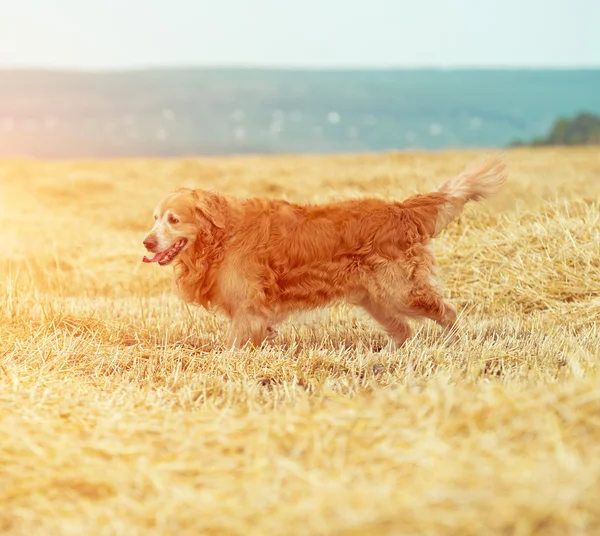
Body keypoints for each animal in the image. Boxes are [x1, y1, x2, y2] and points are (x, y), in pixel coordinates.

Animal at [144, 155, 506, 350]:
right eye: (154, 218)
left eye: (173, 219)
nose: (147, 243)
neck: (223, 235)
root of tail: (402, 209)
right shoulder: (255, 314)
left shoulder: (249, 309)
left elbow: (232, 346)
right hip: (375, 299)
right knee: (404, 330)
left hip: (400, 292)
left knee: (448, 311)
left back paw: (456, 345)